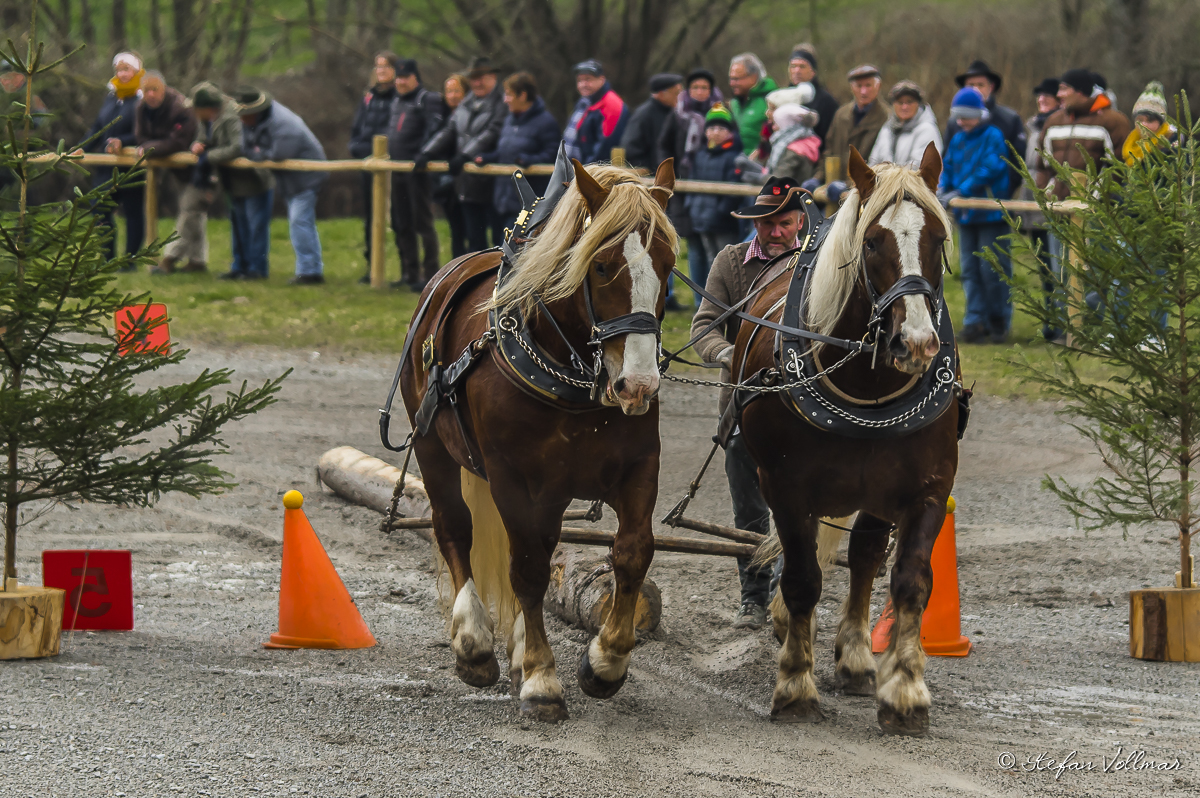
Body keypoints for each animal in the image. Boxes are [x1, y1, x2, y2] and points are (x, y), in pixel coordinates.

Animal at [398, 158, 681, 720]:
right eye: (601, 265)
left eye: (667, 263)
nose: (638, 384)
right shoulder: (512, 477)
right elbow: (526, 568)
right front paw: (540, 677)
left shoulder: (639, 465)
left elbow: (633, 552)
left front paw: (605, 661)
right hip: (434, 447)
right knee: (453, 527)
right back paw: (475, 642)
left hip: (550, 492)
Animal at [734, 144, 960, 734]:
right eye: (873, 241)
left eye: (938, 238)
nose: (917, 343)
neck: (867, 385)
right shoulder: (786, 487)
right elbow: (802, 580)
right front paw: (795, 686)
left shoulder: (927, 489)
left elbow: (910, 581)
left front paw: (905, 693)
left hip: (877, 490)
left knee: (863, 556)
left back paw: (857, 660)